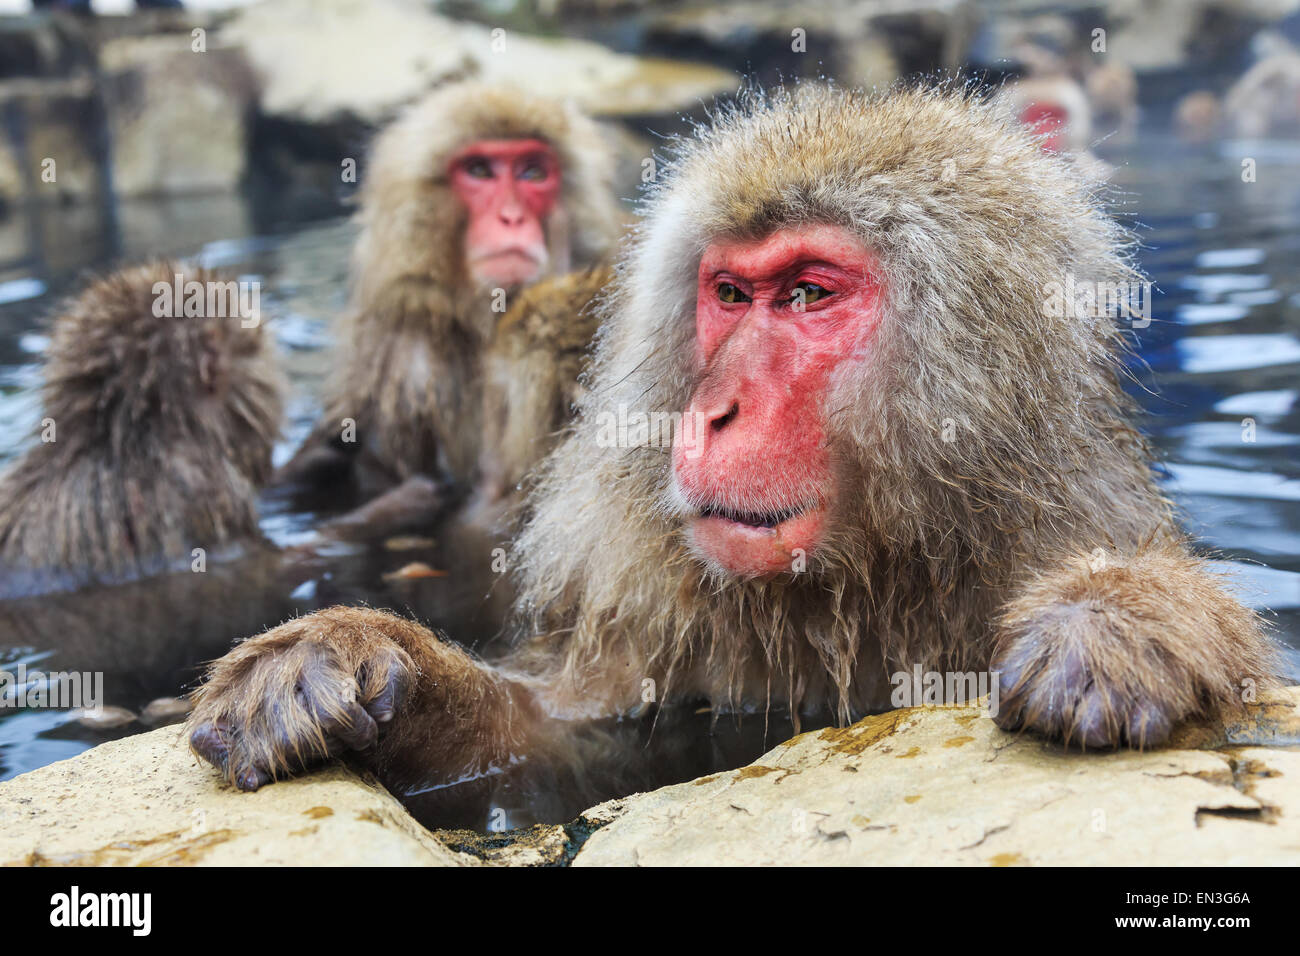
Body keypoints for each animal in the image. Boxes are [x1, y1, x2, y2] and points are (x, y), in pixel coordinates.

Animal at [189, 80, 1279, 801]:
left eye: (806, 293)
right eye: (728, 293)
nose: (713, 411)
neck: (873, 565)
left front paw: (1123, 619)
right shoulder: (656, 603)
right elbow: (573, 735)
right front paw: (354, 654)